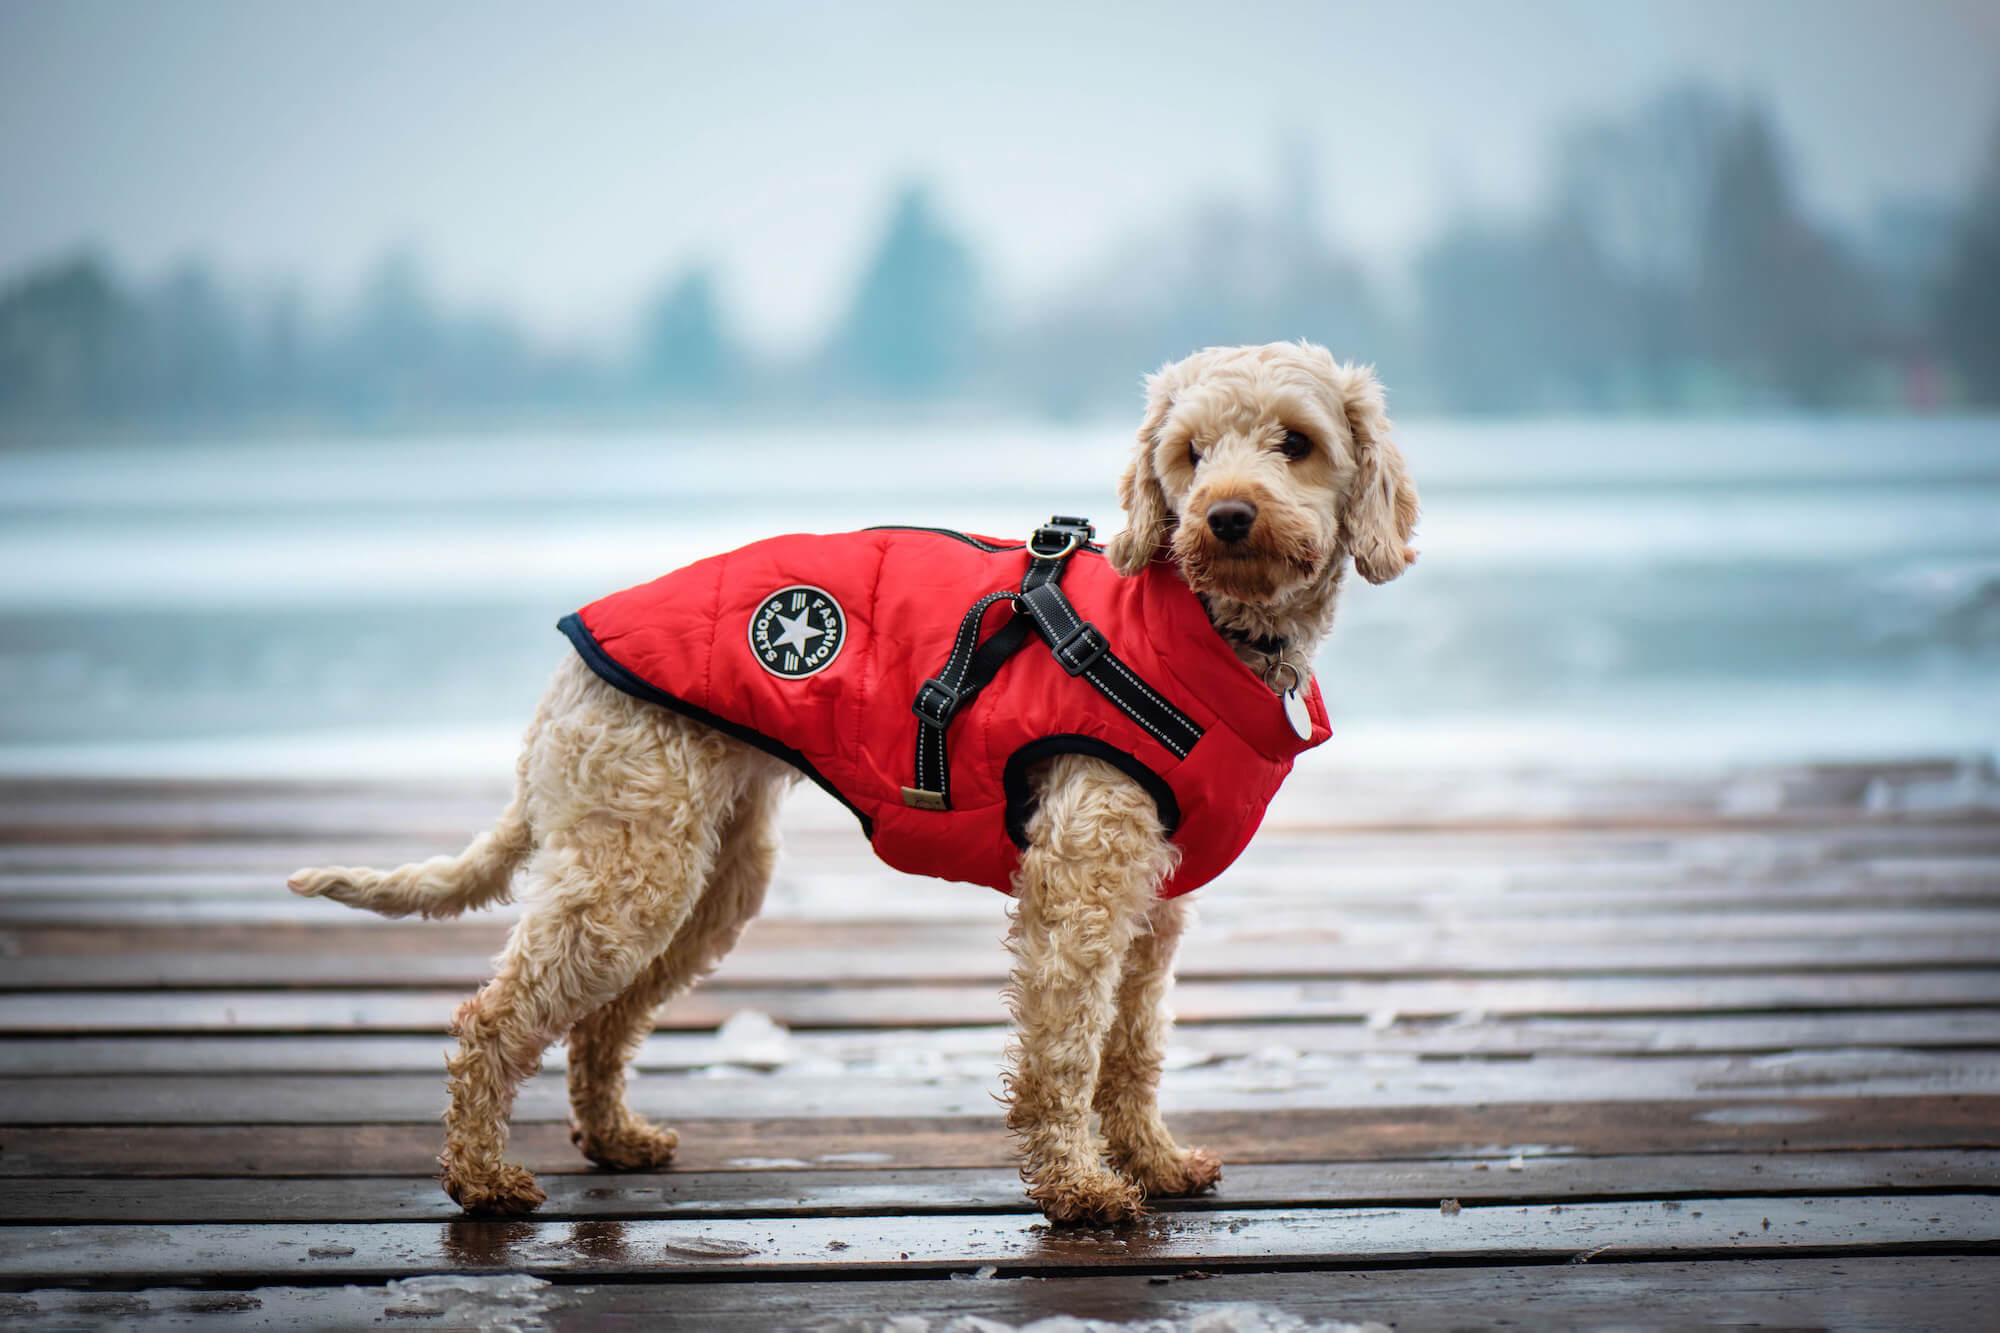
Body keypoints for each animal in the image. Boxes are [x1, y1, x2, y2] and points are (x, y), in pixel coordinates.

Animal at [290, 338, 1424, 1216]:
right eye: (1189, 453)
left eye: (1294, 442)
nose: (1225, 514)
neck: (1198, 631)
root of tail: (562, 680)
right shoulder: (1079, 888)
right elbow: (1064, 1048)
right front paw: (1080, 1189)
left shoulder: (1152, 905)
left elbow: (1130, 1046)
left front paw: (1150, 1161)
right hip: (631, 874)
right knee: (492, 1018)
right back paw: (480, 1178)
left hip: (706, 879)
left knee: (601, 1022)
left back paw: (614, 1138)